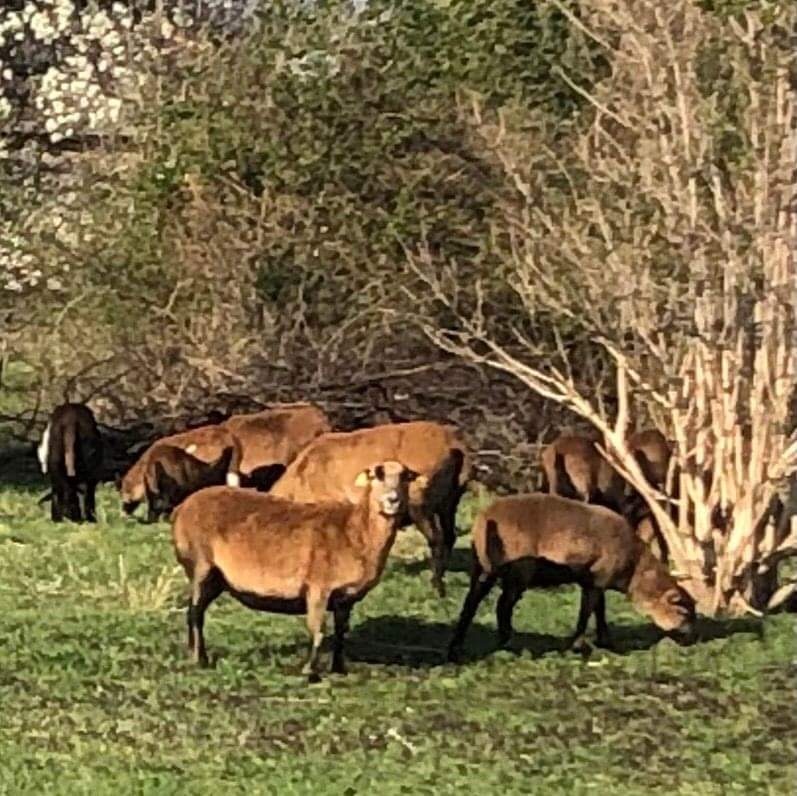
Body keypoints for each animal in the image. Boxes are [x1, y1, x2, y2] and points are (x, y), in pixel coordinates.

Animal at [172, 458, 426, 680]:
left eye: (406, 477)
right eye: (376, 474)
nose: (393, 500)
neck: (355, 531)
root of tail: (183, 507)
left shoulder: (345, 599)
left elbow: (341, 632)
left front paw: (338, 668)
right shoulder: (318, 588)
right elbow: (318, 630)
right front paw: (310, 671)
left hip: (216, 578)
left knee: (193, 610)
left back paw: (192, 653)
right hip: (201, 564)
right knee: (196, 612)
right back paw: (201, 660)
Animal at [268, 422, 466, 596]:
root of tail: (455, 449)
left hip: (420, 502)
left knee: (437, 539)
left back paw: (436, 586)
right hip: (452, 499)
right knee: (450, 535)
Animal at [448, 494, 696, 664]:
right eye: (682, 611)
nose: (691, 638)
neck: (635, 570)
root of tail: (481, 521)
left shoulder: (596, 581)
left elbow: (600, 611)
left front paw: (605, 641)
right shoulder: (596, 580)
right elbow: (586, 613)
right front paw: (576, 646)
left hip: (482, 567)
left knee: (471, 603)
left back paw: (457, 647)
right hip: (519, 570)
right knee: (503, 605)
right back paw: (509, 642)